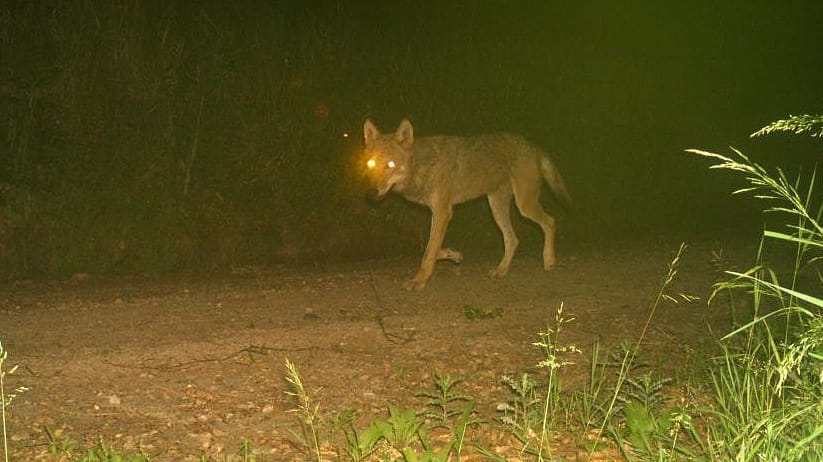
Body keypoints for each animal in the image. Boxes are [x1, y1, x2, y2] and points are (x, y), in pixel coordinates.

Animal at [364, 120, 568, 292]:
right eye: (371, 163)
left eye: (391, 164)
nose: (371, 195)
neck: (422, 165)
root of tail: (534, 146)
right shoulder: (437, 214)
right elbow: (432, 249)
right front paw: (454, 255)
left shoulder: (443, 213)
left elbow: (428, 253)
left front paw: (418, 281)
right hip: (497, 208)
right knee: (513, 239)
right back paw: (501, 271)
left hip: (524, 206)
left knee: (550, 221)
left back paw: (549, 260)